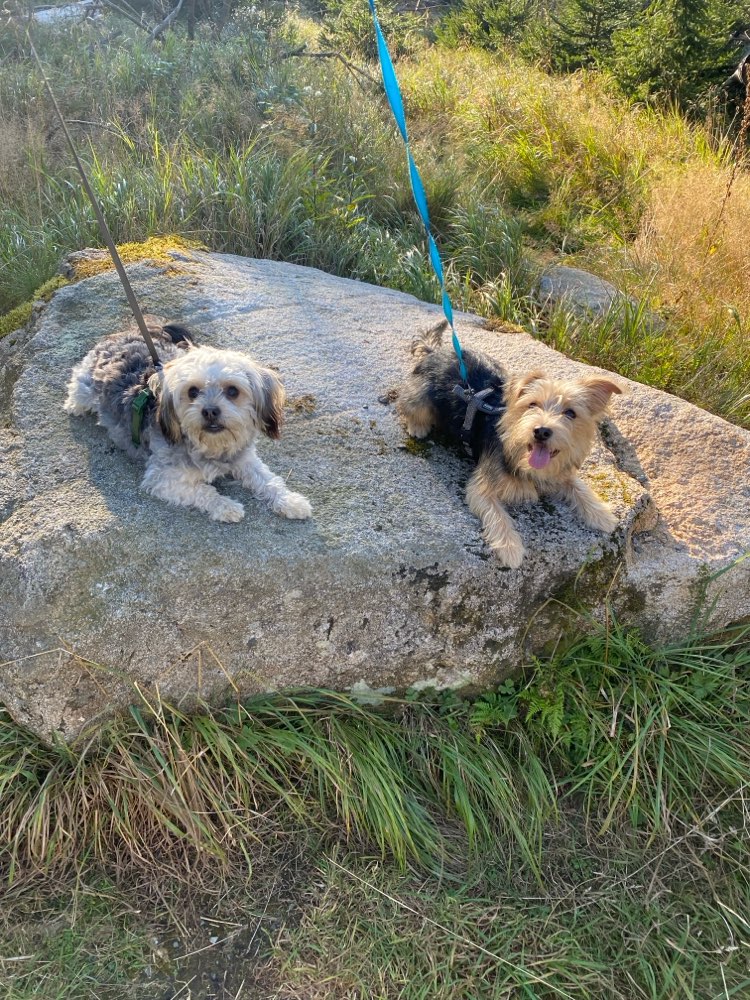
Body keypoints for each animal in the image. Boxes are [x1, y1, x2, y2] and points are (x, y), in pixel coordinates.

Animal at [61, 320, 314, 524]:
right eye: (193, 391)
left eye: (233, 391)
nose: (210, 411)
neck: (212, 447)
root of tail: (123, 333)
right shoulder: (162, 478)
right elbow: (204, 491)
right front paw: (226, 506)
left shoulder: (246, 460)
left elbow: (269, 480)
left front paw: (291, 501)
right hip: (85, 388)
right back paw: (74, 405)